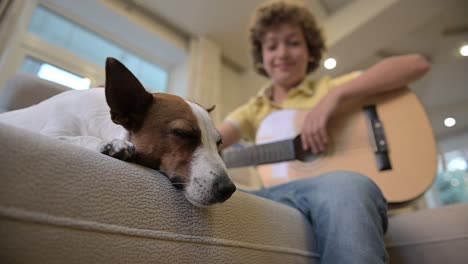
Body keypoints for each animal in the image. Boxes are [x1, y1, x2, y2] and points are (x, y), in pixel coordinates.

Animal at [0, 57, 236, 206]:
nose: (229, 189)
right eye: (183, 134)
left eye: (219, 143)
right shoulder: (52, 133)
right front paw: (111, 145)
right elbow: (83, 138)